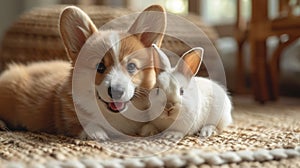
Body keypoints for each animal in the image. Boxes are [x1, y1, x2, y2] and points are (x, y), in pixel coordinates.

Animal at [0, 4, 166, 140]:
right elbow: (81, 123)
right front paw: (96, 133)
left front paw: (151, 129)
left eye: (131, 66)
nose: (117, 92)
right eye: (99, 66)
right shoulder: (67, 117)